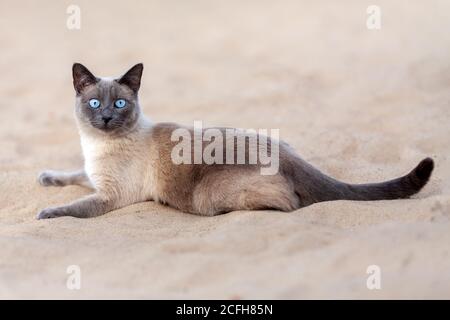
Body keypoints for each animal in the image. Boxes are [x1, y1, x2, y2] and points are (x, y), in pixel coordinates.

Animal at [37, 62, 434, 219]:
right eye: (94, 103)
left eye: (119, 104)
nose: (105, 118)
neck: (96, 146)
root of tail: (284, 153)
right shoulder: (93, 175)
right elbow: (74, 175)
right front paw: (46, 178)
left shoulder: (109, 195)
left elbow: (75, 207)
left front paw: (46, 213)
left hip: (206, 195)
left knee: (291, 203)